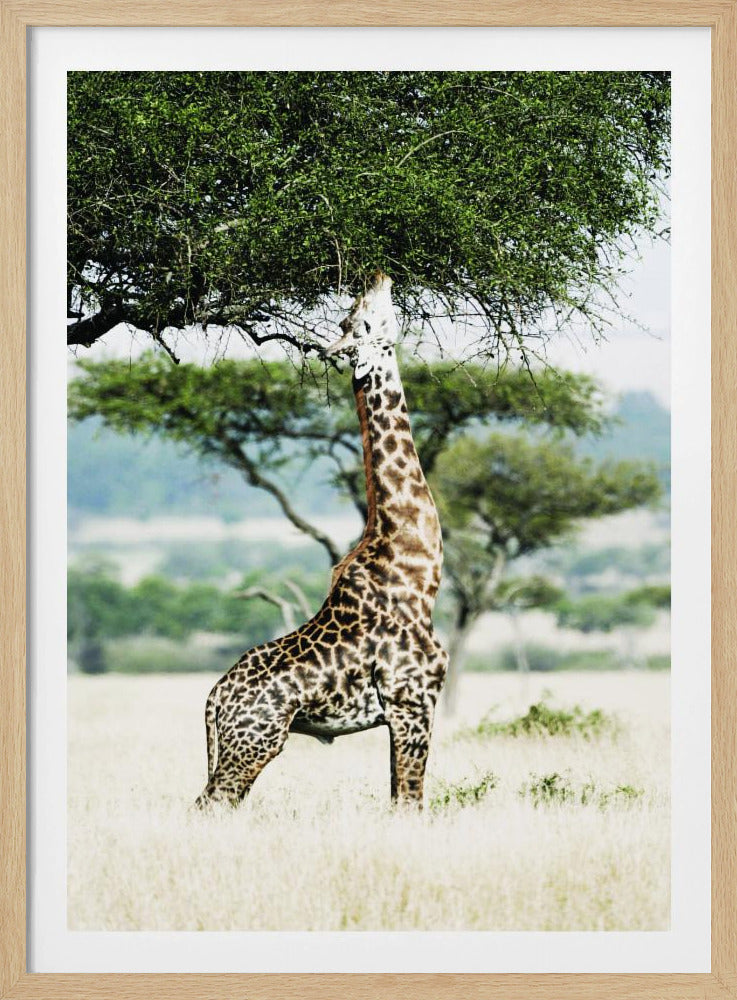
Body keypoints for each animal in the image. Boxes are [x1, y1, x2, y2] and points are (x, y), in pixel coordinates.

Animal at [195, 272, 448, 809]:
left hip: (240, 744)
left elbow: (398, 798)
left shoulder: (403, 711)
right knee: (210, 804)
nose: (378, 275)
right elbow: (411, 802)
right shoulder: (413, 700)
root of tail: (215, 697)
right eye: (362, 319)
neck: (418, 573)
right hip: (255, 741)